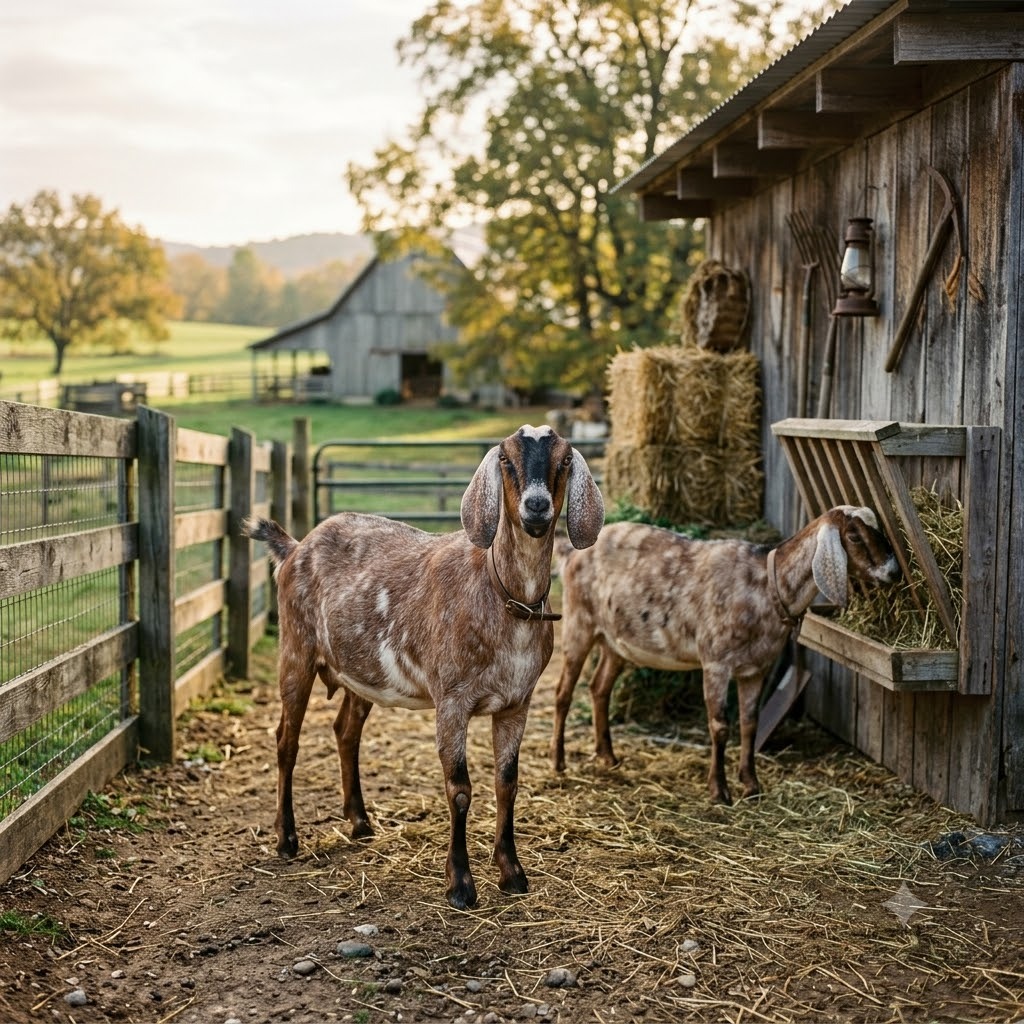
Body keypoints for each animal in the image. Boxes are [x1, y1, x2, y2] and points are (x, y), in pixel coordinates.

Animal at [243, 425, 604, 909]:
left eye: (564, 460)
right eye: (506, 460)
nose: (536, 506)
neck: (500, 594)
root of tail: (296, 546)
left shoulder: (517, 702)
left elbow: (507, 782)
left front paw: (512, 873)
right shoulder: (451, 699)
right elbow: (460, 788)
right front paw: (461, 885)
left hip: (360, 672)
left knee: (346, 731)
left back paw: (360, 822)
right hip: (296, 651)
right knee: (286, 739)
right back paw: (286, 839)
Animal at [550, 506, 900, 805]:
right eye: (854, 536)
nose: (894, 572)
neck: (767, 587)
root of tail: (570, 553)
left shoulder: (756, 669)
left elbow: (750, 723)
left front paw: (751, 784)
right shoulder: (716, 663)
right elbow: (719, 726)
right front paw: (719, 790)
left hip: (614, 642)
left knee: (599, 688)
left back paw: (607, 756)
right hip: (578, 624)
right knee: (563, 693)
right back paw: (558, 762)